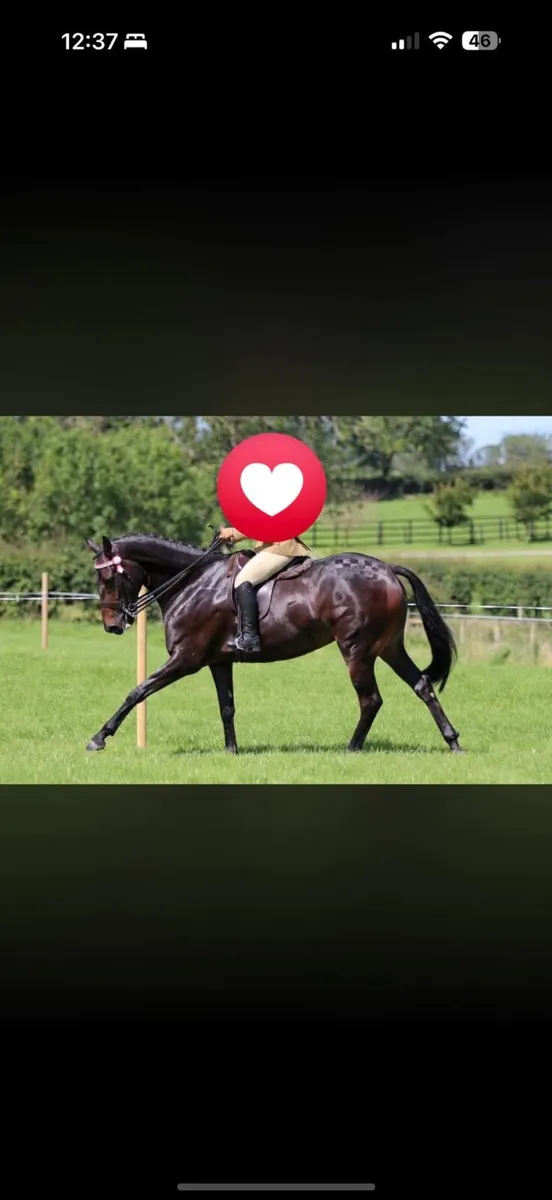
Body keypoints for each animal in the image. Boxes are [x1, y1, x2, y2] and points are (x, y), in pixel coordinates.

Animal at [84, 533, 463, 756]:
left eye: (108, 577)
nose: (112, 626)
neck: (192, 582)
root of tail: (386, 569)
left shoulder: (186, 659)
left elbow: (137, 691)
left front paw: (99, 737)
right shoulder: (218, 661)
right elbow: (226, 706)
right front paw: (231, 751)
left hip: (357, 650)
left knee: (371, 700)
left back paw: (351, 748)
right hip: (388, 648)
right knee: (422, 685)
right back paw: (453, 741)